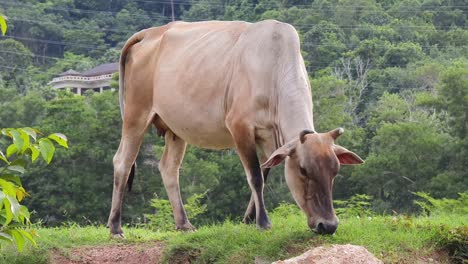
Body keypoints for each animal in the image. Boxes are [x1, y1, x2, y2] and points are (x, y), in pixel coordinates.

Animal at [108, 18, 364, 237]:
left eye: (335, 170)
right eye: (303, 170)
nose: (328, 225)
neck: (273, 67)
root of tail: (149, 33)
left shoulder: (271, 140)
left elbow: (264, 173)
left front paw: (249, 219)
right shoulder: (240, 127)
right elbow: (255, 176)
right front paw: (263, 222)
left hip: (174, 128)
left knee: (169, 168)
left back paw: (184, 224)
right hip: (136, 114)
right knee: (123, 162)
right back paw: (115, 227)